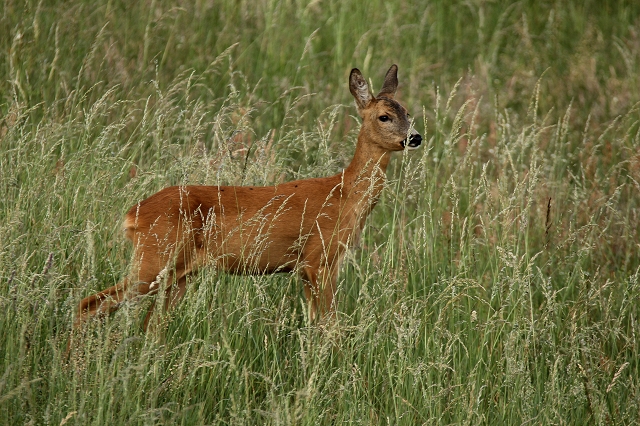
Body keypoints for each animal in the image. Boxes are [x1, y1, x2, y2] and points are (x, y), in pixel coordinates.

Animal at [75, 65, 422, 328]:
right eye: (384, 117)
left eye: (408, 112)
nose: (415, 137)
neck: (344, 193)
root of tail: (132, 215)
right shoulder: (319, 257)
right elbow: (330, 326)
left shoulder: (309, 267)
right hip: (154, 260)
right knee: (89, 304)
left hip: (178, 272)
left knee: (149, 325)